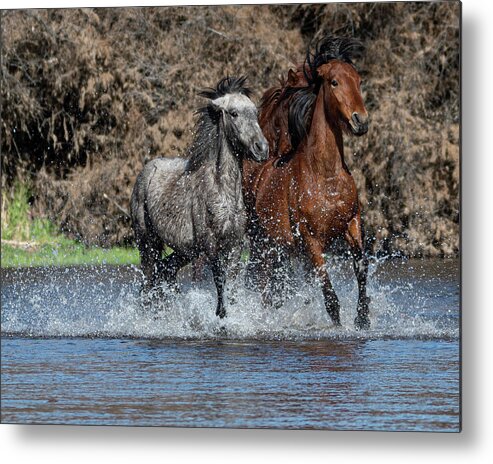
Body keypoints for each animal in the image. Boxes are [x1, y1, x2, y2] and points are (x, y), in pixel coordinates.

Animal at [130, 77, 270, 320]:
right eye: (233, 113)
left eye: (255, 112)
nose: (261, 148)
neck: (224, 194)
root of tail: (146, 170)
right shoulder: (211, 245)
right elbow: (220, 281)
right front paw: (221, 318)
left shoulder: (234, 246)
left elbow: (231, 284)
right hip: (148, 243)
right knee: (149, 281)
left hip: (184, 251)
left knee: (164, 272)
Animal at [242, 37, 368, 330]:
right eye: (334, 82)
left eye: (359, 81)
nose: (361, 121)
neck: (325, 176)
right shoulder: (310, 238)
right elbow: (328, 290)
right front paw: (338, 323)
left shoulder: (352, 222)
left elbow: (361, 266)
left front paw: (363, 317)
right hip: (263, 244)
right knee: (262, 284)